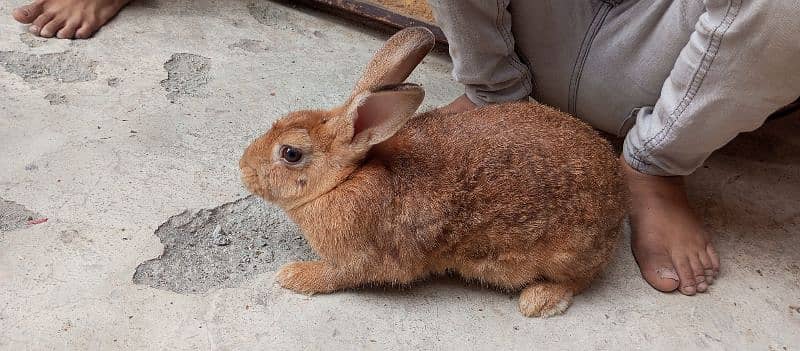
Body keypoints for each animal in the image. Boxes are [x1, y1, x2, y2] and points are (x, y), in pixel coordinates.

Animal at [241, 28, 628, 320]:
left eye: (290, 153)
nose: (243, 169)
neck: (346, 180)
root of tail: (619, 199)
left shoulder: (356, 260)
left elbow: (336, 276)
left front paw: (292, 276)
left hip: (566, 254)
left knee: (581, 281)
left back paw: (539, 300)